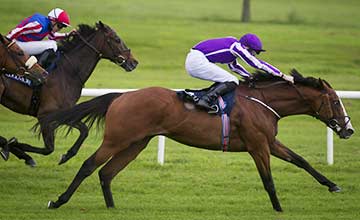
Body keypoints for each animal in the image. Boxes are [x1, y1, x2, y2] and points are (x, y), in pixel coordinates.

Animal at [0, 21, 138, 165]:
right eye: (117, 39)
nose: (134, 62)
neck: (66, 72)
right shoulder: (45, 115)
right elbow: (48, 148)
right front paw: (15, 148)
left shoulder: (63, 112)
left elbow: (84, 130)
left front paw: (67, 155)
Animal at [40, 70, 352, 211]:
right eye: (336, 101)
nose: (348, 130)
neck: (262, 102)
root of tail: (121, 96)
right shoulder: (257, 146)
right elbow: (269, 181)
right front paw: (279, 209)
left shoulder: (269, 142)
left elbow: (302, 161)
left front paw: (333, 185)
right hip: (117, 139)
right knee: (89, 166)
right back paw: (58, 201)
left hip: (137, 142)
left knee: (106, 172)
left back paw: (113, 209)